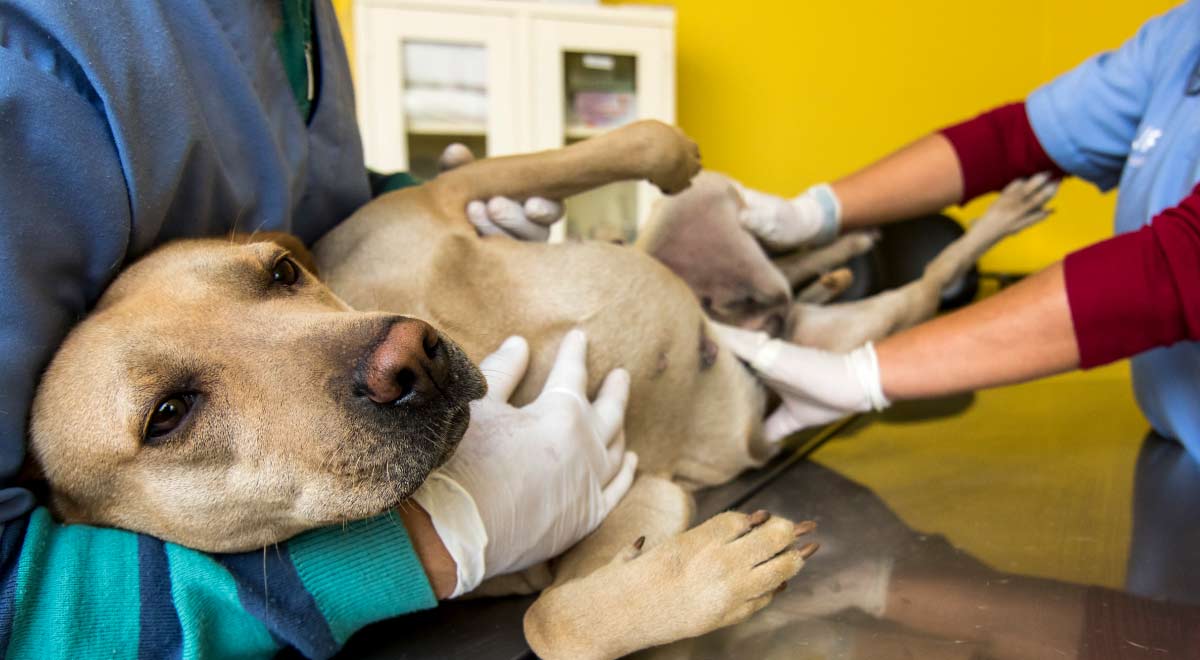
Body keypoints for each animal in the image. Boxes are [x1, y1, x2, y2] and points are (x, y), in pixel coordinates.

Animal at [25, 121, 1051, 657]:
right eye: (167, 416)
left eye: (280, 272)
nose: (411, 357)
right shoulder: (634, 493)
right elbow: (551, 619)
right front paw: (707, 578)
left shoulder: (446, 197)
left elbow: (589, 150)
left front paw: (660, 151)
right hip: (833, 362)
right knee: (898, 298)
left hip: (712, 244)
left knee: (847, 265)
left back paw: (852, 242)